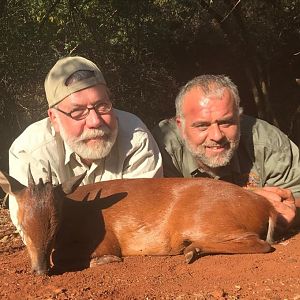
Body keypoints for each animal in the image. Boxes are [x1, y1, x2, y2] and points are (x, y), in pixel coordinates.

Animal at [0, 165, 276, 276]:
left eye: (56, 226)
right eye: (21, 227)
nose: (39, 271)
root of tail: (267, 206)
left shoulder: (104, 240)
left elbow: (72, 257)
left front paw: (104, 261)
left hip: (207, 221)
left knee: (261, 244)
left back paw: (191, 250)